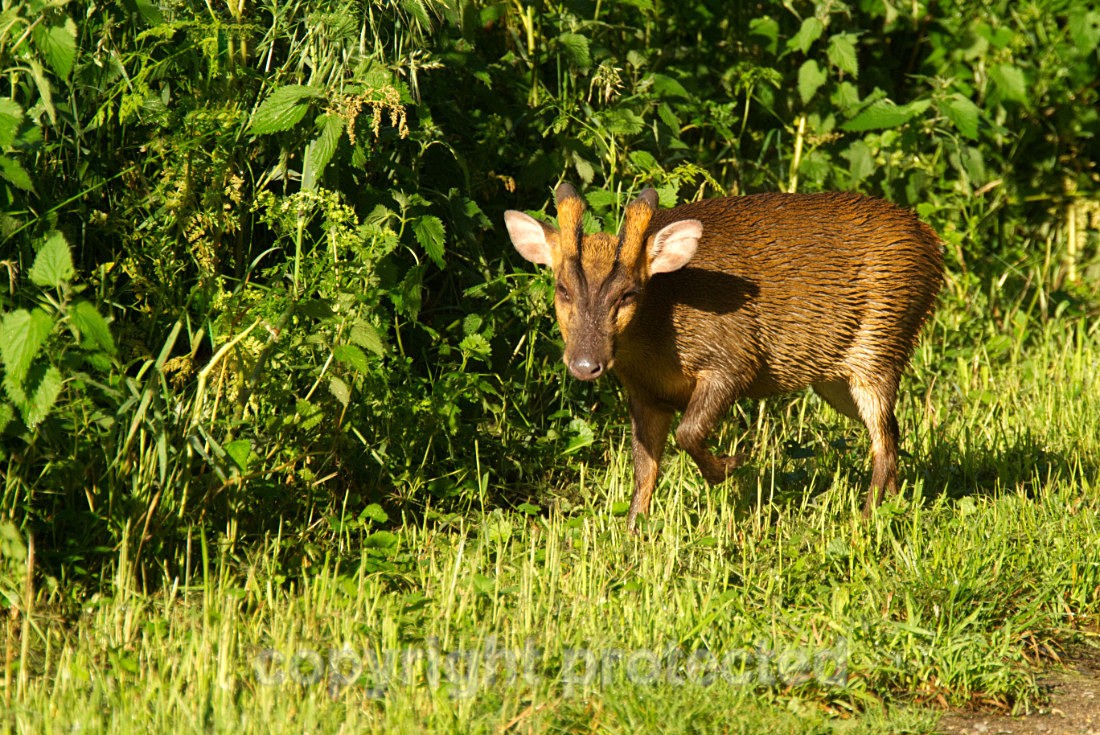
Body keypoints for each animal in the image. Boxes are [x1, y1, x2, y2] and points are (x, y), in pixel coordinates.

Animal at [504, 183, 944, 530]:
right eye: (562, 289)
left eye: (628, 293)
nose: (584, 364)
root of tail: (931, 242)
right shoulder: (645, 394)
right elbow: (644, 468)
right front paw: (632, 531)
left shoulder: (734, 358)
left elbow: (688, 432)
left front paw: (729, 467)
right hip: (835, 378)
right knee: (893, 431)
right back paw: (896, 505)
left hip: (882, 341)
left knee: (883, 441)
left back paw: (866, 520)